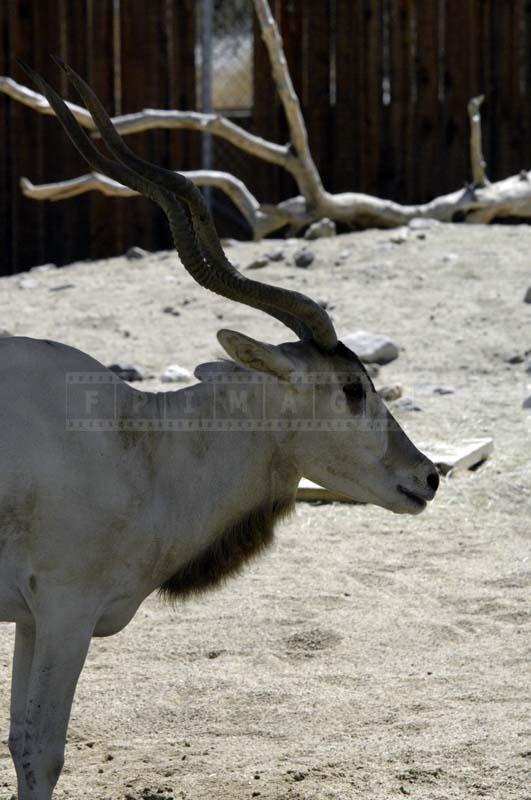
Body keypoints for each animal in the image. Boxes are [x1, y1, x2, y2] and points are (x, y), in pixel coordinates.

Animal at [0, 62, 438, 800]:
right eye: (353, 388)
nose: (427, 476)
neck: (140, 445)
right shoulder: (65, 609)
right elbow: (42, 750)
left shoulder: (32, 618)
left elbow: (17, 741)